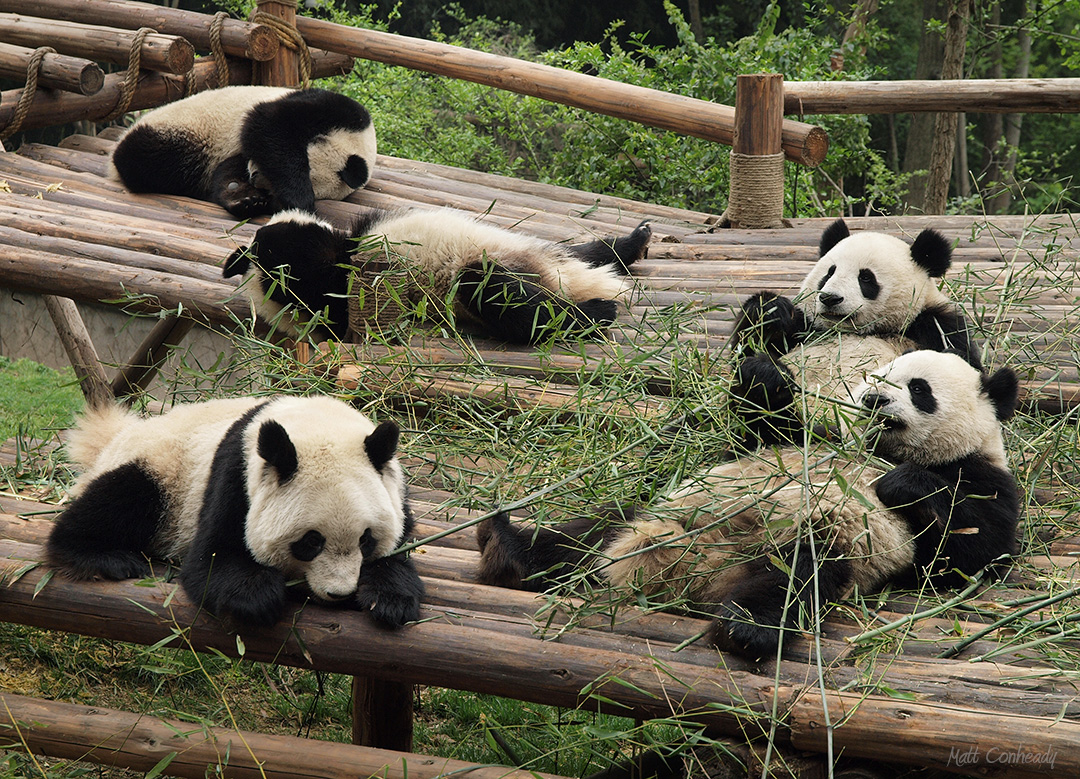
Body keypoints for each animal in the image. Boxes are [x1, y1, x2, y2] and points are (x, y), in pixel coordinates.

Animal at [45, 395, 421, 626]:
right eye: (311, 542)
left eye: (365, 540)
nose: (338, 593)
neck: (315, 423)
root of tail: (113, 439)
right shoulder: (234, 478)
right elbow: (211, 561)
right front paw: (259, 596)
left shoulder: (394, 492)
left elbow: (400, 556)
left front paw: (389, 600)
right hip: (164, 473)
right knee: (122, 499)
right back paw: (104, 557)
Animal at [109, 86, 378, 217]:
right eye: (308, 174)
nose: (255, 177)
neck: (361, 135)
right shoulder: (331, 110)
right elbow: (269, 125)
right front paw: (298, 201)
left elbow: (231, 166)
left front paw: (243, 195)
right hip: (182, 131)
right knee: (149, 159)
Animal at [221, 206, 648, 343]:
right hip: (483, 279)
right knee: (511, 303)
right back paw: (598, 311)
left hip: (530, 248)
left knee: (588, 250)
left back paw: (634, 242)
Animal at [479, 350, 1019, 661]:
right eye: (874, 376)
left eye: (918, 389)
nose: (873, 400)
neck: (882, 450)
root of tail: (688, 571)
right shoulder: (807, 438)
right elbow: (762, 430)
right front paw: (763, 374)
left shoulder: (980, 473)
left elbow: (975, 552)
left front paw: (904, 485)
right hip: (660, 508)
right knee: (588, 531)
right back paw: (506, 545)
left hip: (821, 540)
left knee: (794, 578)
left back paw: (746, 629)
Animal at [730, 218, 984, 447]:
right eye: (829, 273)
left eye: (866, 277)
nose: (830, 298)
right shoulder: (807, 328)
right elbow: (745, 349)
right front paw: (769, 310)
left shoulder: (935, 326)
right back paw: (766, 377)